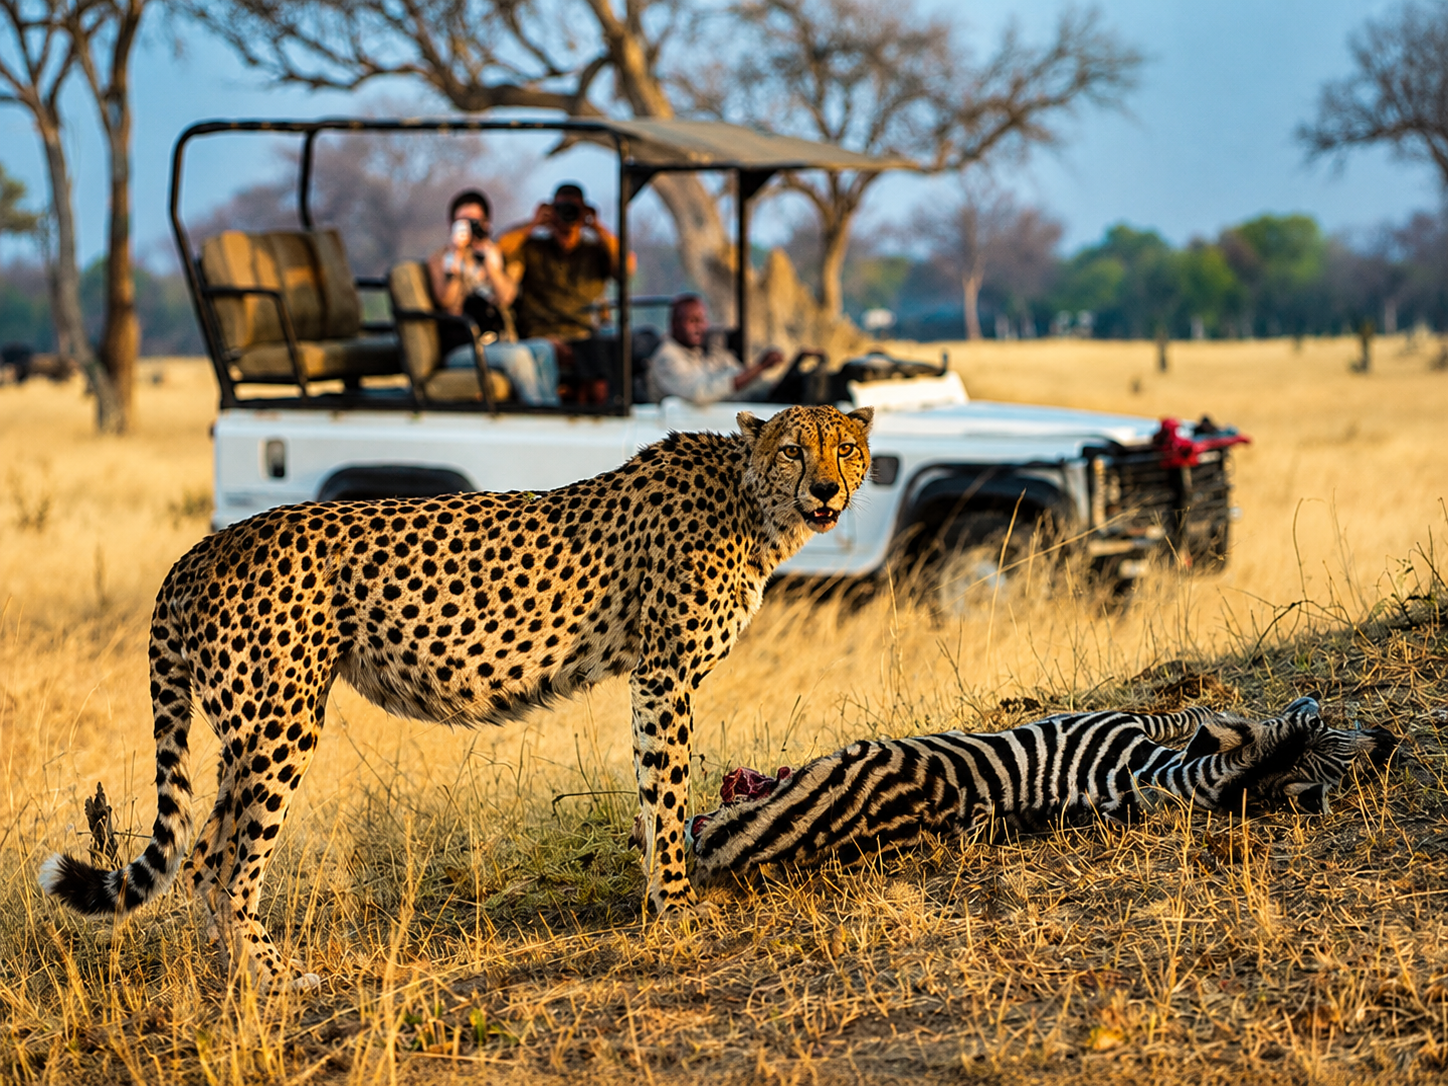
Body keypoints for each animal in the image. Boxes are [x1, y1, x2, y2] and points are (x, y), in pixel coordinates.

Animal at [39, 403, 875, 990]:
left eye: (846, 448)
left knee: (204, 855)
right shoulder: (662, 673)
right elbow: (666, 789)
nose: (827, 488)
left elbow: (651, 791)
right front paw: (675, 901)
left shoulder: (653, 678)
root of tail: (209, 543)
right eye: (794, 449)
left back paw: (233, 981)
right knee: (229, 866)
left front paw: (657, 893)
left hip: (246, 732)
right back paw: (275, 983)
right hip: (278, 726)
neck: (751, 501)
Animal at [690, 698, 1396, 878]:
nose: (1390, 743)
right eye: (1330, 731)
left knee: (705, 823)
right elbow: (1192, 723)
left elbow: (1187, 718)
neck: (1151, 776)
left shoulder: (1121, 724)